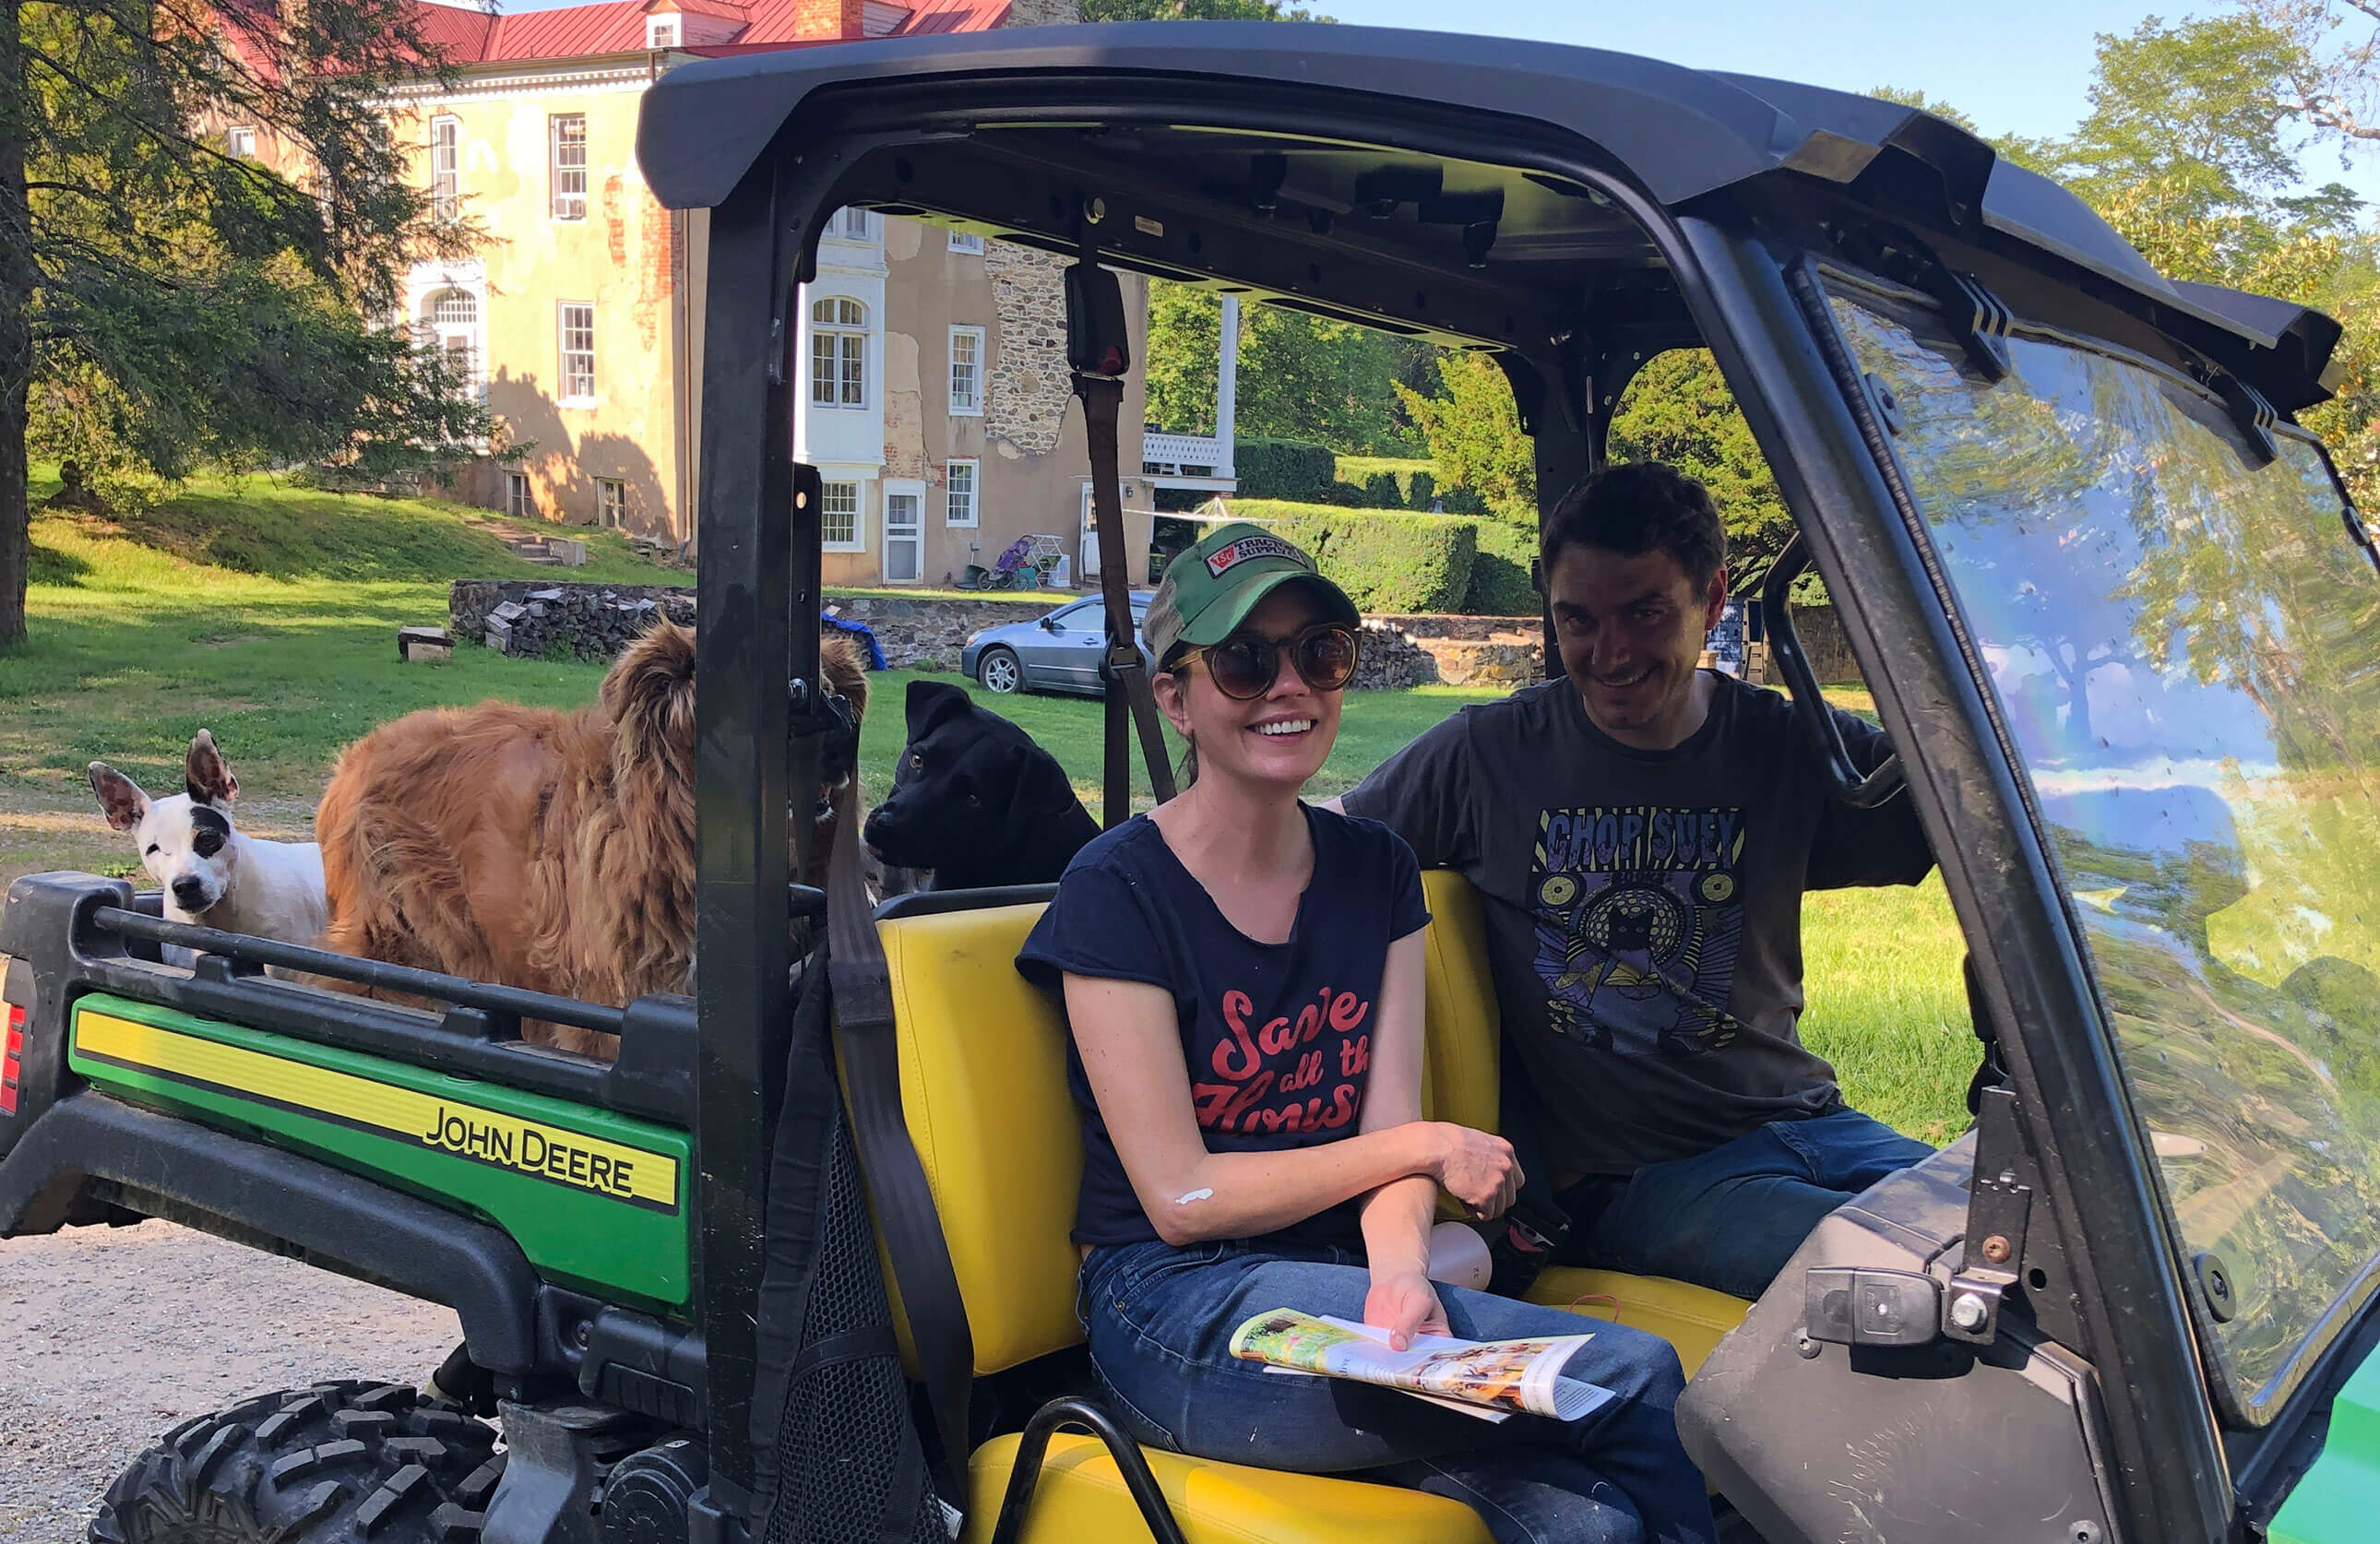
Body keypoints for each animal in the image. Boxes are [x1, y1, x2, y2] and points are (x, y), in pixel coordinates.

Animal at [311, 618, 871, 1051]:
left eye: (830, 692)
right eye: (792, 705)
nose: (846, 733)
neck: (674, 822)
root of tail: (353, 759)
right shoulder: (612, 998)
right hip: (393, 940)